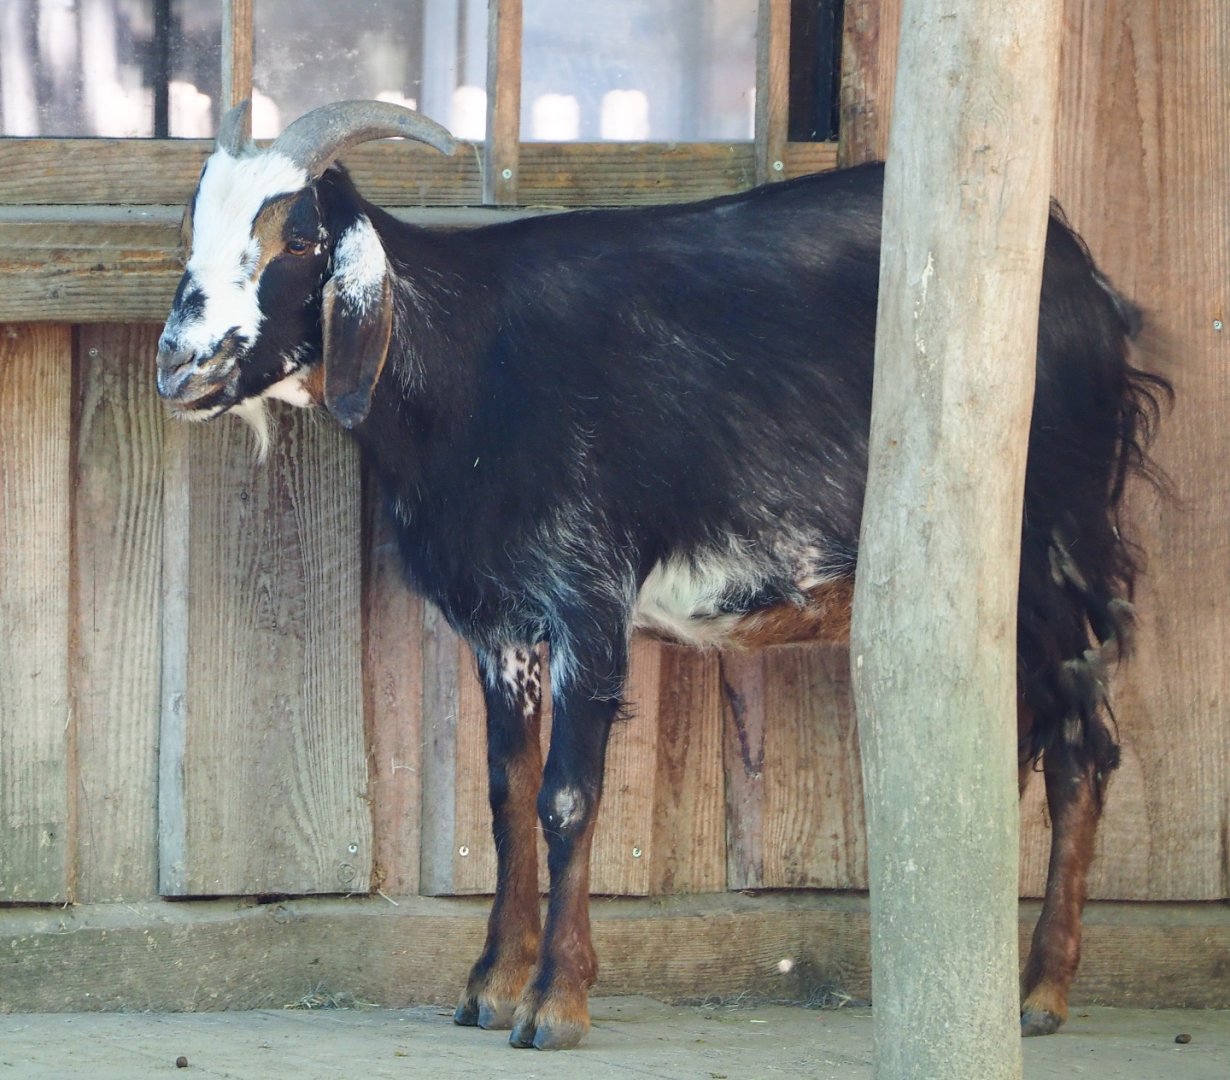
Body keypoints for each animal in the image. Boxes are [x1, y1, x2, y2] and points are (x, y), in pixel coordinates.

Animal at [156, 100, 1170, 1050]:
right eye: (194, 231)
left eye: (298, 237)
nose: (179, 364)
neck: (472, 364)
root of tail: (1085, 283)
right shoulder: (503, 623)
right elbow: (506, 796)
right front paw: (490, 987)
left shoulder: (588, 595)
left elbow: (567, 798)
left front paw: (555, 1004)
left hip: (1051, 543)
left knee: (1083, 749)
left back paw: (1041, 993)